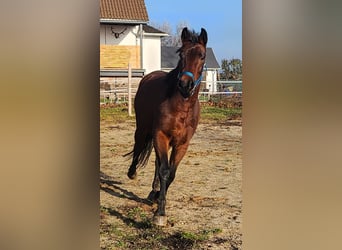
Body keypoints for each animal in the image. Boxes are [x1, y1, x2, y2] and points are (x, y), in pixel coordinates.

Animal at [125, 27, 206, 227]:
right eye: (181, 54)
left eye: (202, 56)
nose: (185, 85)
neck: (182, 107)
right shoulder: (160, 135)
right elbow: (164, 170)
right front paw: (160, 213)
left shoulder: (182, 144)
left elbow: (171, 173)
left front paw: (157, 198)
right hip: (143, 129)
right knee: (138, 149)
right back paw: (132, 173)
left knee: (157, 161)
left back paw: (153, 190)